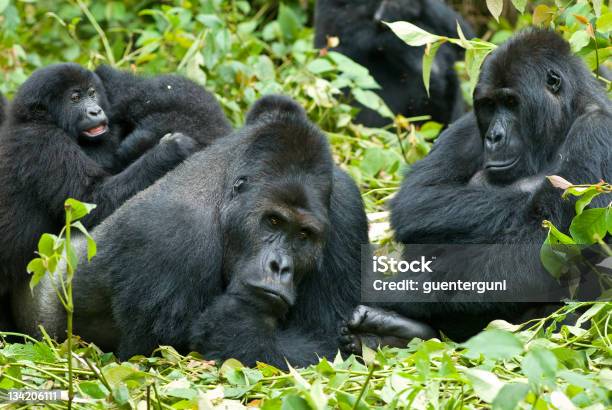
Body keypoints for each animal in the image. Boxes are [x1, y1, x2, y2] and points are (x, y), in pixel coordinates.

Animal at [0, 63, 232, 330]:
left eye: (92, 93)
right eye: (75, 98)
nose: (95, 110)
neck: (36, 119)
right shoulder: (44, 143)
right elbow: (92, 202)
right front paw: (170, 150)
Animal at [15, 96, 368, 368]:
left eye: (304, 236)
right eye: (273, 222)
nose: (280, 267)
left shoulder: (346, 206)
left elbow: (326, 336)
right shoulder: (169, 234)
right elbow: (158, 358)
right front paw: (237, 323)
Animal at [342, 28, 608, 352]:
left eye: (511, 102)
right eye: (490, 106)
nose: (495, 136)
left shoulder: (597, 130)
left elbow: (544, 248)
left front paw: (397, 293)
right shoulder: (469, 121)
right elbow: (419, 198)